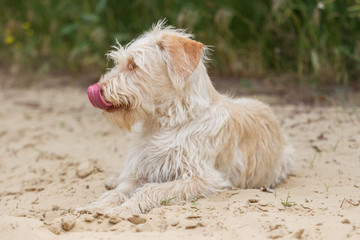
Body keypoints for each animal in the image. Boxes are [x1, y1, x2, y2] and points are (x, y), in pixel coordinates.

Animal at [80, 21, 294, 216]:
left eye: (133, 65)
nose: (97, 89)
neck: (167, 121)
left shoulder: (203, 178)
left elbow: (151, 188)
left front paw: (124, 209)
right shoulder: (141, 170)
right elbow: (119, 192)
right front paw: (96, 206)